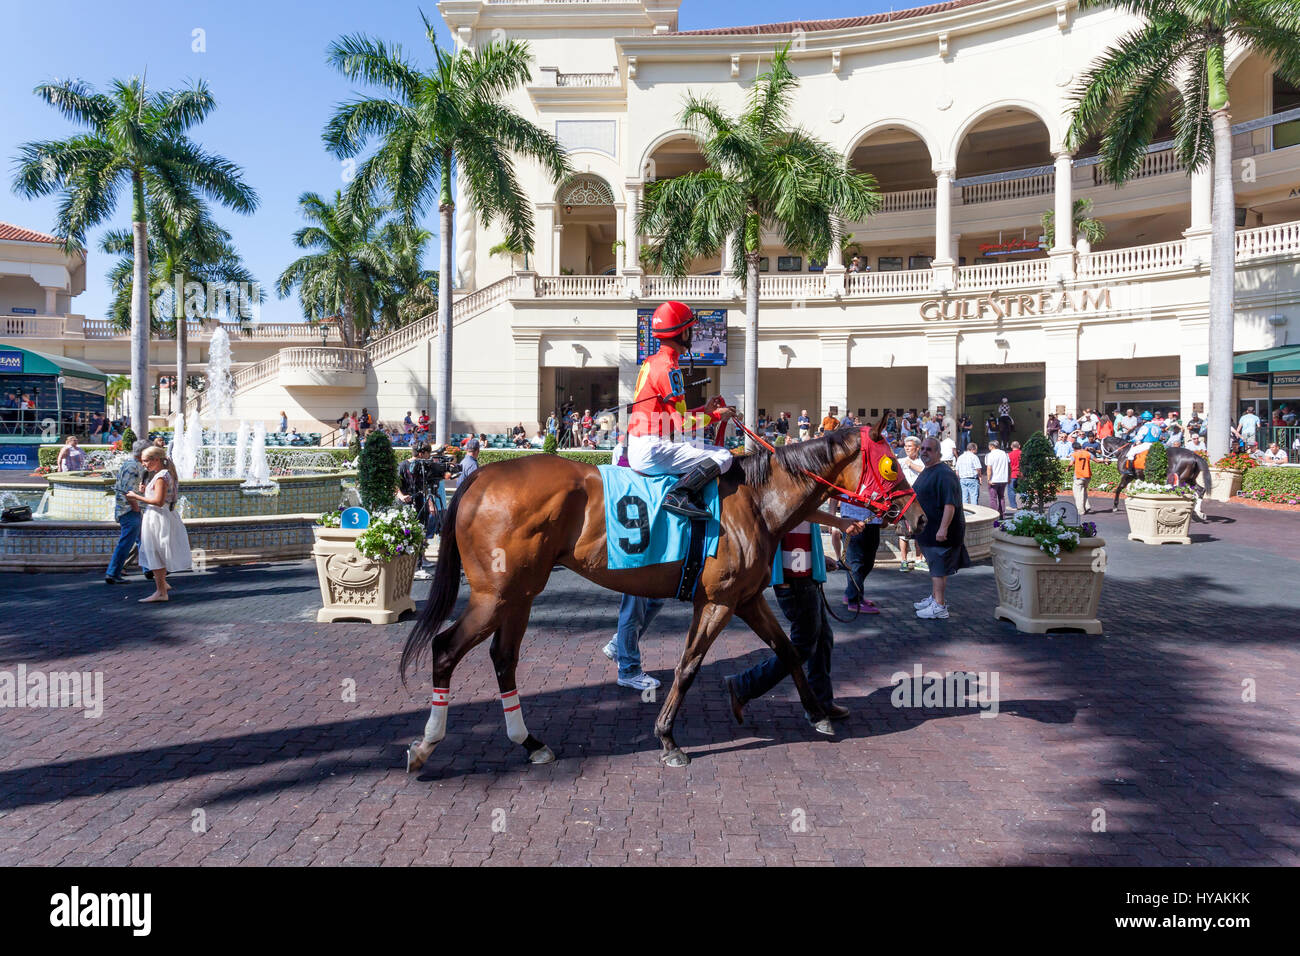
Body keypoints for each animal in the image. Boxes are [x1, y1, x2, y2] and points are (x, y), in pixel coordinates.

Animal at [405, 418, 925, 770]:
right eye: (891, 464)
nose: (918, 518)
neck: (757, 501)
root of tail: (481, 476)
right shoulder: (716, 601)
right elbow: (689, 665)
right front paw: (668, 739)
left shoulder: (746, 598)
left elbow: (789, 650)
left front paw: (817, 713)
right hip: (495, 595)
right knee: (446, 648)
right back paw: (425, 745)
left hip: (521, 594)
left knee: (503, 657)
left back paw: (531, 743)